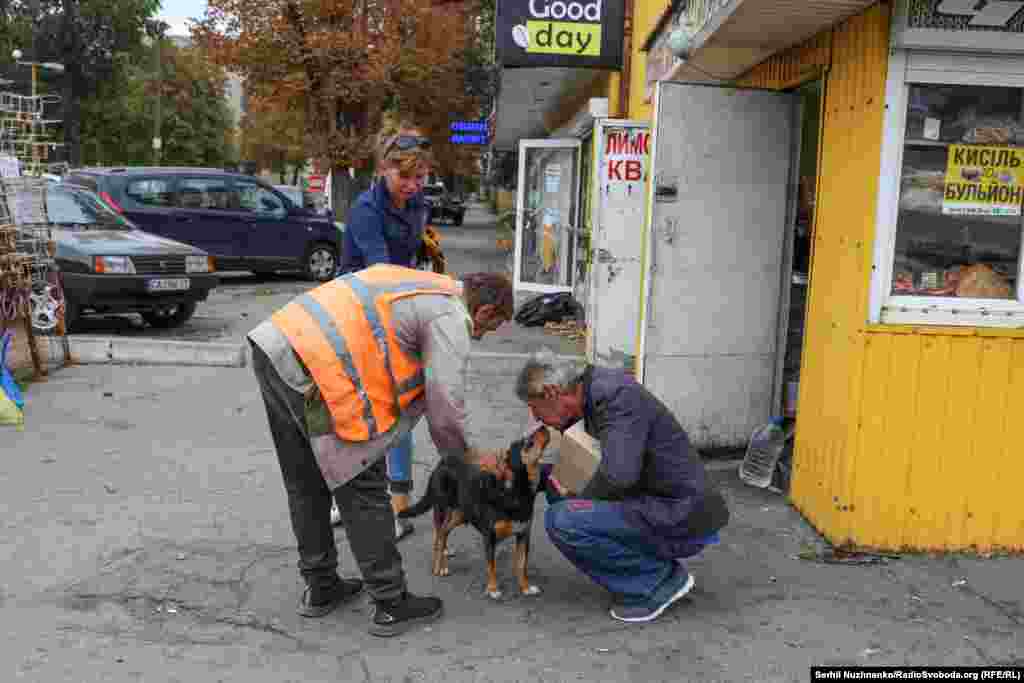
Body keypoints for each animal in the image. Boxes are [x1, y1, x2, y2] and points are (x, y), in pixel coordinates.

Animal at [397, 430, 552, 602]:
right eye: (527, 443)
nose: (544, 427)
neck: (515, 491)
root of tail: (443, 462)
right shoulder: (489, 536)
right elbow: (492, 566)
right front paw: (493, 589)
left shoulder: (523, 535)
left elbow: (521, 565)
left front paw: (525, 587)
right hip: (442, 509)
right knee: (439, 535)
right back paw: (439, 565)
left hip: (461, 513)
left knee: (445, 532)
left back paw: (444, 552)